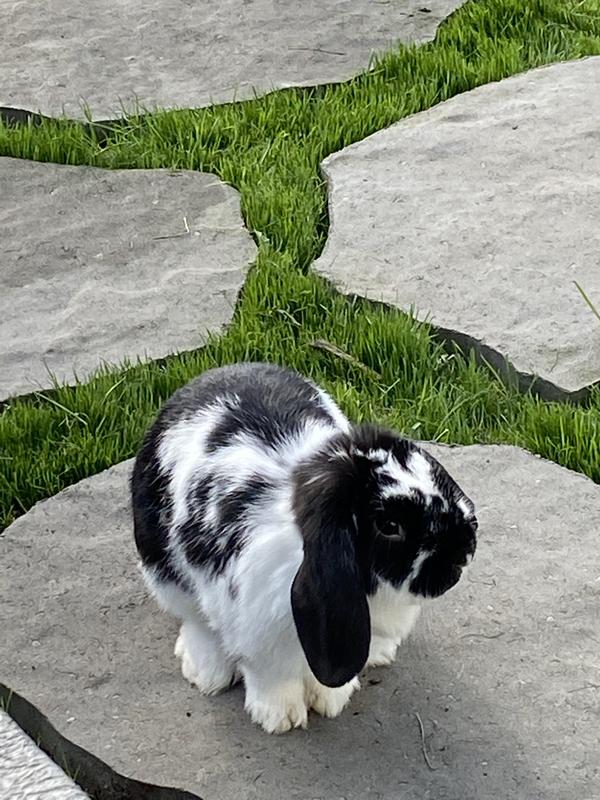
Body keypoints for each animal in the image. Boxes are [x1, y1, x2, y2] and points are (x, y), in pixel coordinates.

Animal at [131, 362, 477, 733]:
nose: (465, 549)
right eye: (389, 526)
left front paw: (331, 699)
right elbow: (271, 677)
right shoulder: (258, 634)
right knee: (194, 621)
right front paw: (280, 717)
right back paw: (206, 673)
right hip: (162, 571)